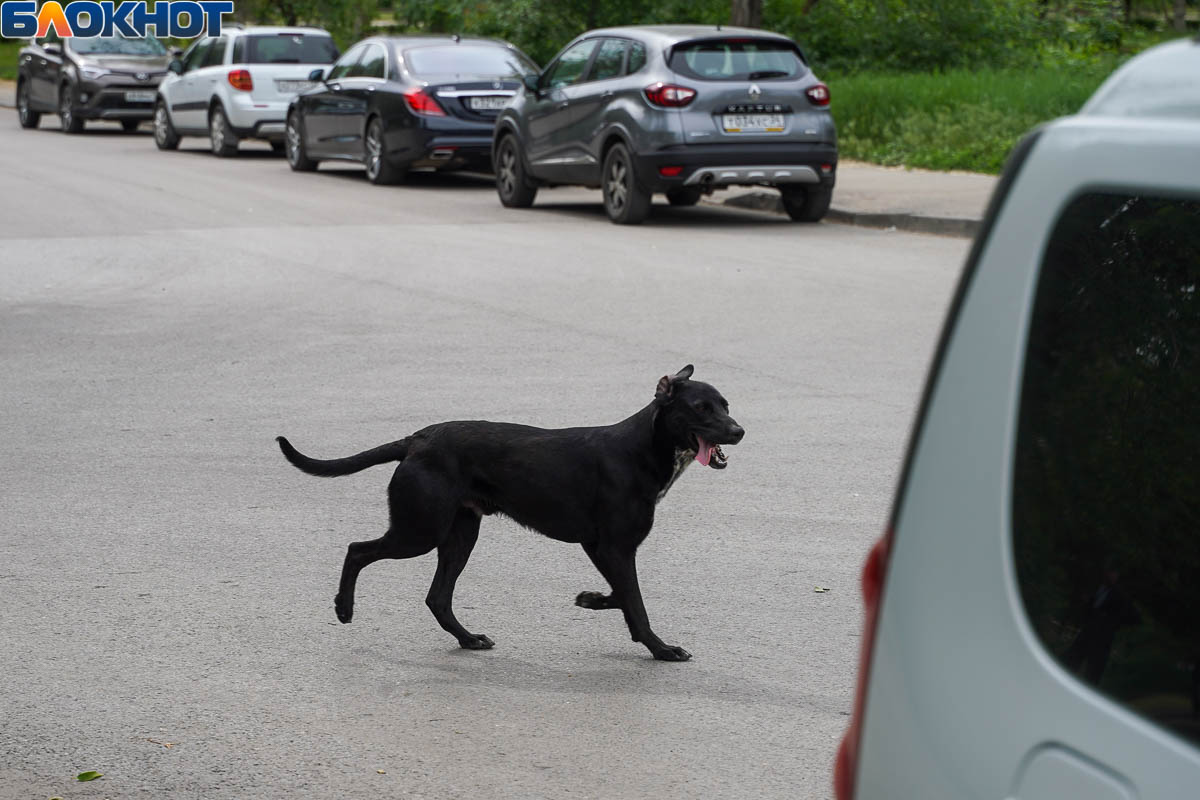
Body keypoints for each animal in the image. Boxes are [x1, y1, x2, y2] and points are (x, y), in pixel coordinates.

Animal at [276, 367, 739, 662]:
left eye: (726, 405)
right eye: (701, 408)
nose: (739, 431)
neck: (642, 449)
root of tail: (417, 439)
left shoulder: (605, 549)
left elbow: (623, 596)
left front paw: (591, 599)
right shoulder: (612, 547)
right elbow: (635, 602)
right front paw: (662, 650)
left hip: (460, 535)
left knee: (437, 597)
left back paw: (468, 639)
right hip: (420, 531)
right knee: (357, 549)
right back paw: (343, 609)